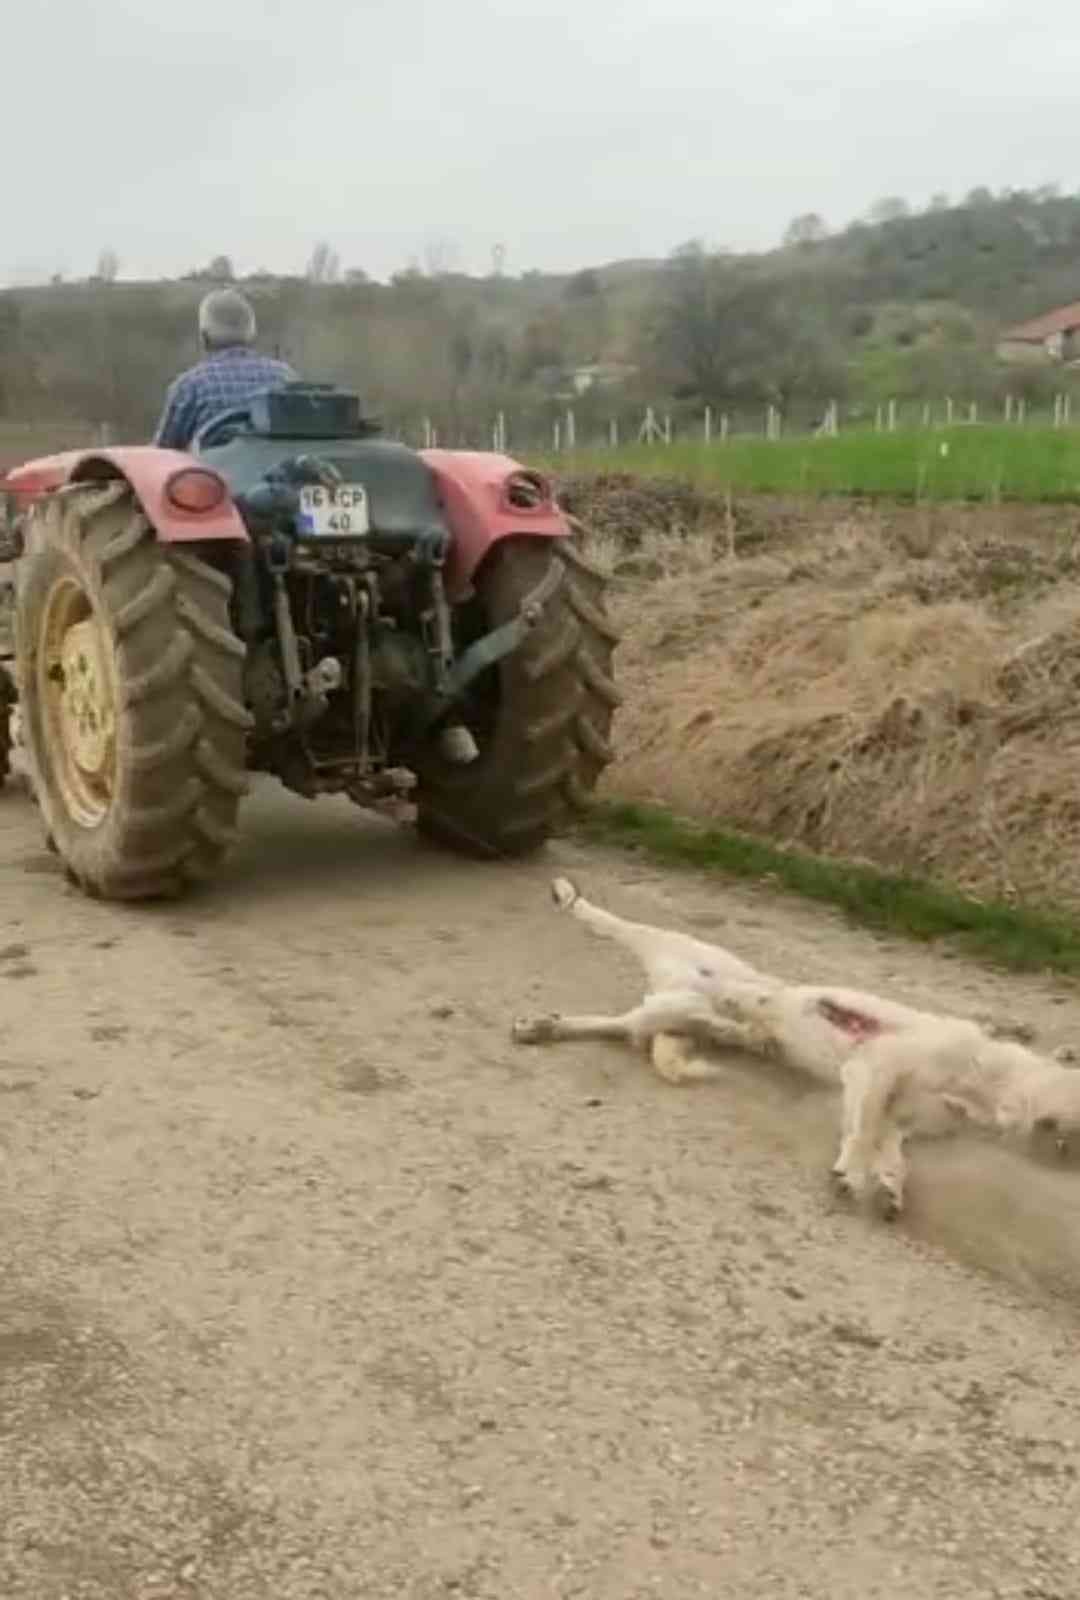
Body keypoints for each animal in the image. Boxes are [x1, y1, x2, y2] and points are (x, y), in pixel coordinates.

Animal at [512, 883, 1080, 1216]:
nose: (1064, 1152)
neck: (992, 1086)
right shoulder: (874, 1067)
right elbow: (862, 1132)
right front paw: (851, 1174)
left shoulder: (900, 1116)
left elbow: (891, 1152)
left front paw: (889, 1187)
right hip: (672, 949)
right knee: (610, 925)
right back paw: (566, 902)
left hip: (666, 1016)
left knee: (619, 1026)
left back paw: (546, 1026)